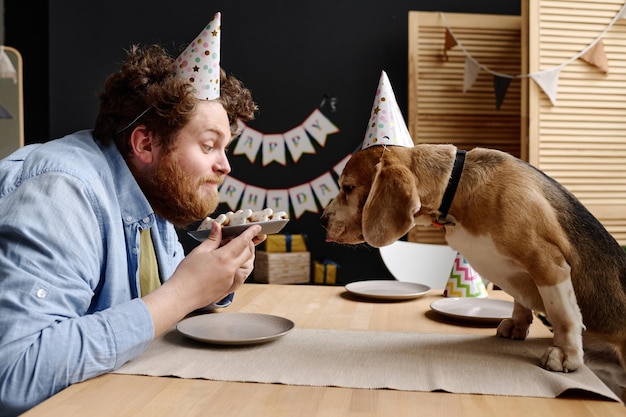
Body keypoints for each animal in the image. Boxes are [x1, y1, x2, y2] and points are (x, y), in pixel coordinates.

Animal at [320, 145, 624, 376]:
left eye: (348, 187)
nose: (322, 220)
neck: (455, 188)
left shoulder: (548, 263)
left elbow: (564, 315)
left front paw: (566, 354)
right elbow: (520, 299)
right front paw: (518, 324)